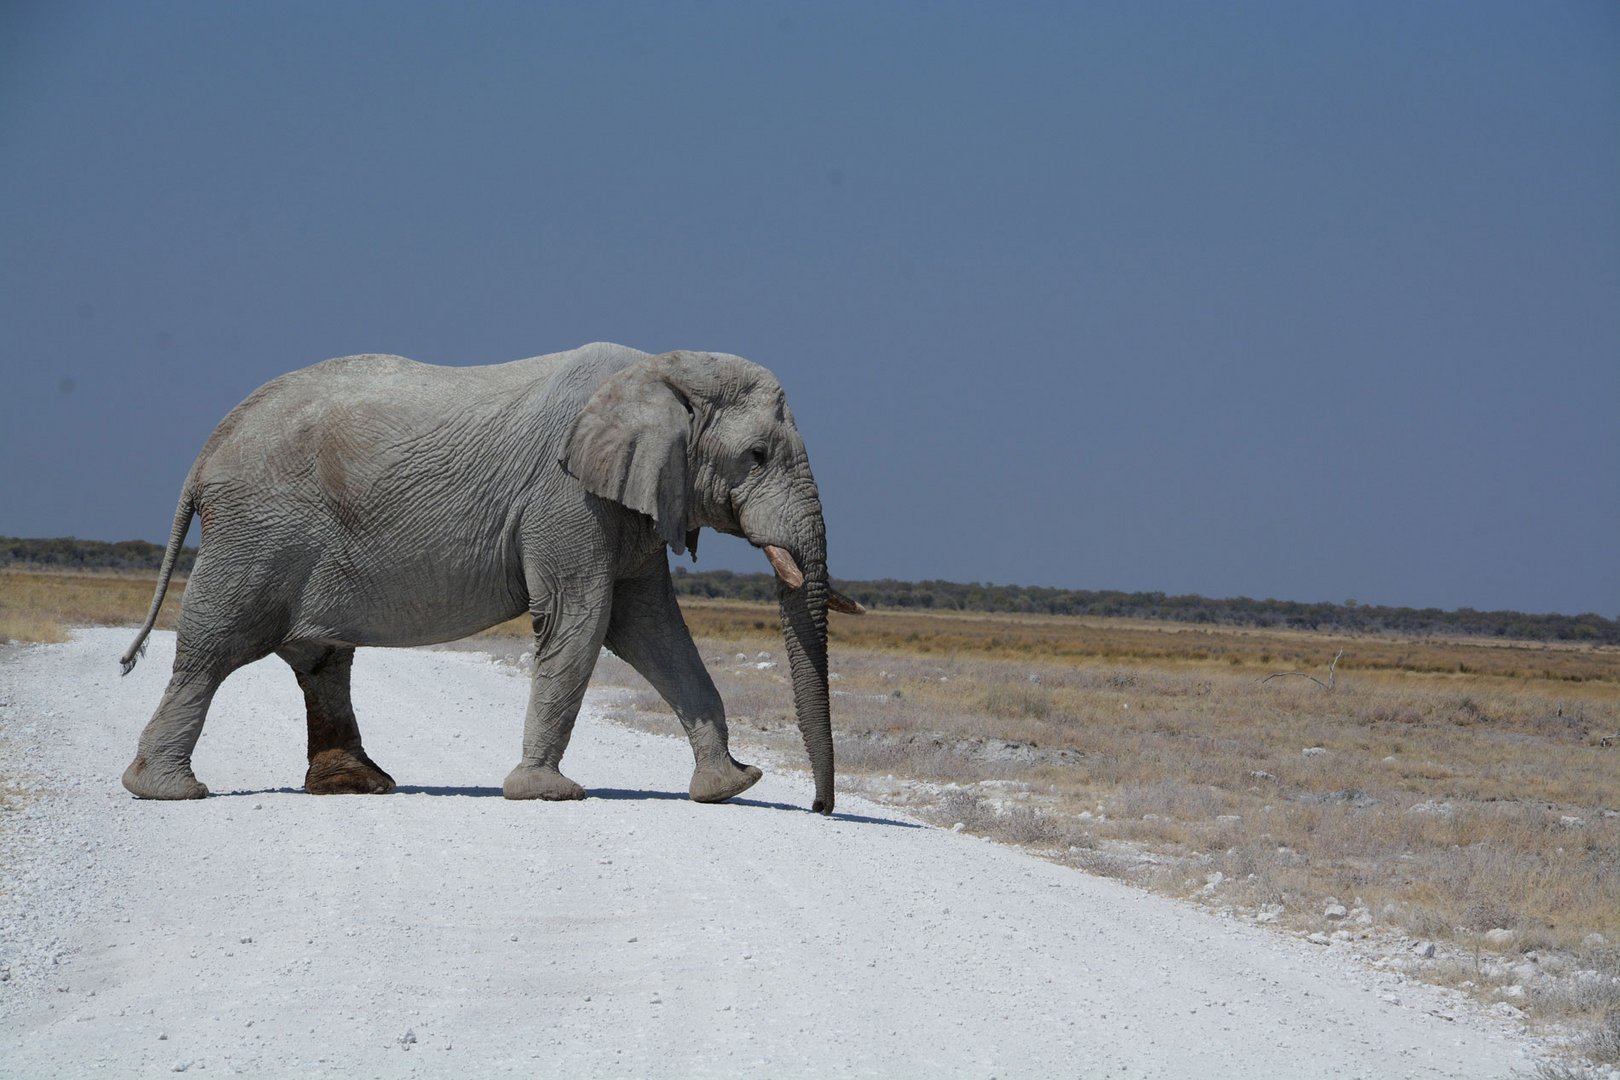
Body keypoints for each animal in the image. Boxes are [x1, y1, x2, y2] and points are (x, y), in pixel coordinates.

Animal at [119, 344, 861, 809]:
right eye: (756, 455)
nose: (820, 807)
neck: (662, 370)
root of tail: (207, 450)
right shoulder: (567, 499)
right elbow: (581, 621)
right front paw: (546, 794)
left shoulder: (632, 506)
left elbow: (653, 632)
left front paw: (732, 786)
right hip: (258, 531)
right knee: (215, 649)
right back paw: (166, 791)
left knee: (322, 660)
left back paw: (360, 785)